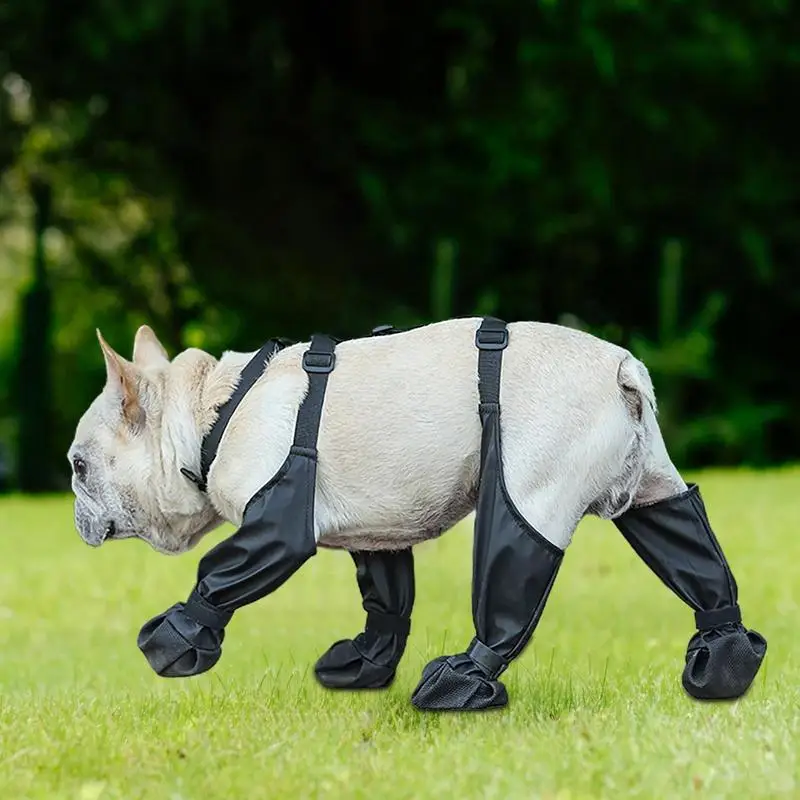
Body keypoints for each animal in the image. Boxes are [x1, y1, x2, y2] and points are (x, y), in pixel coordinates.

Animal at [65, 318, 684, 556]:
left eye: (78, 468)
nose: (75, 514)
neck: (207, 412)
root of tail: (622, 366)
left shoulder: (275, 521)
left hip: (534, 492)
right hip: (655, 482)